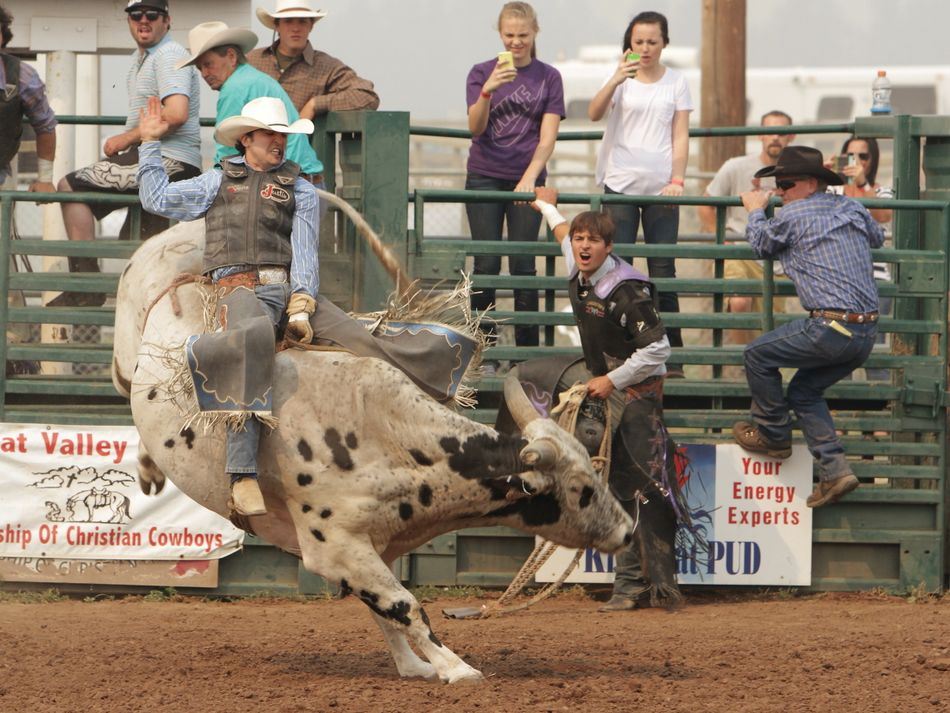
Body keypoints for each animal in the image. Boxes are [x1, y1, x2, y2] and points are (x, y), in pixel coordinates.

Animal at [114, 226, 636, 684]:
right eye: (582, 488)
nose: (628, 530)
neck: (390, 439)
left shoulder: (375, 545)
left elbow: (386, 609)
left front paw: (414, 666)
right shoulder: (334, 546)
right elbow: (406, 606)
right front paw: (456, 668)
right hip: (124, 356)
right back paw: (146, 464)